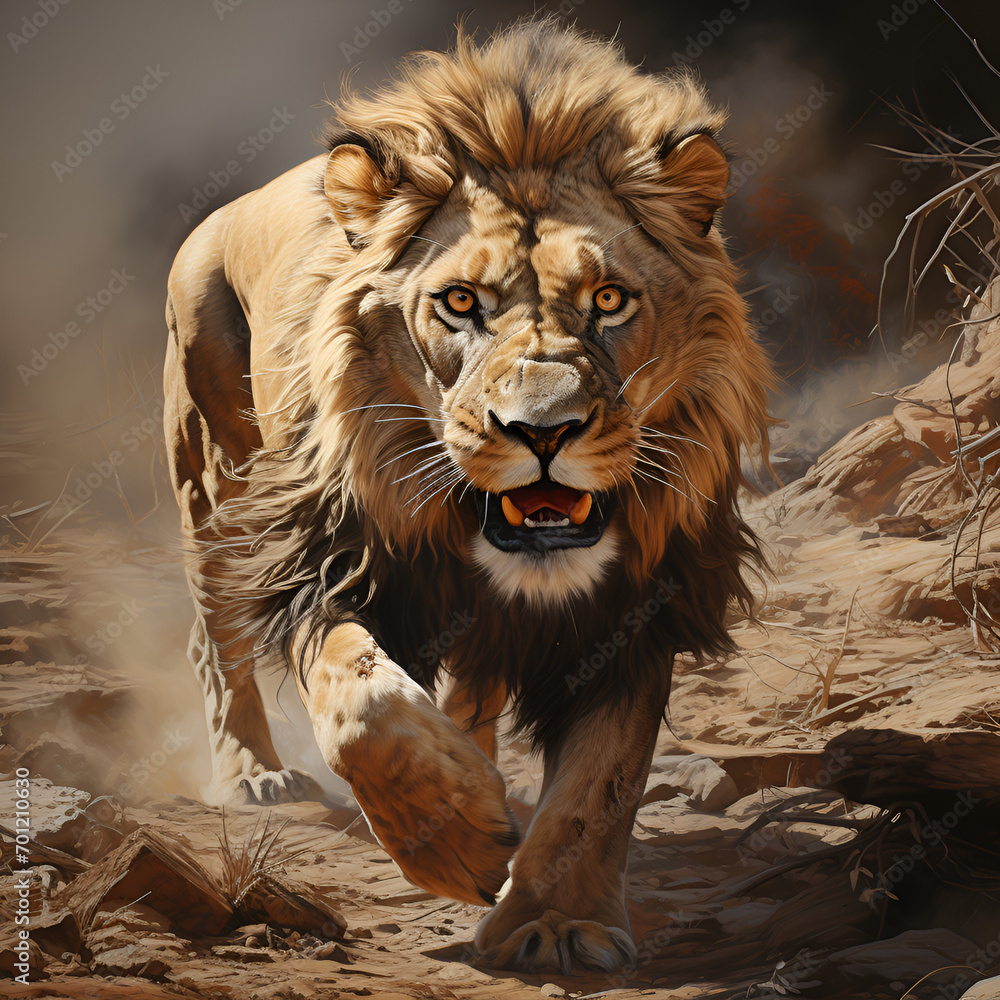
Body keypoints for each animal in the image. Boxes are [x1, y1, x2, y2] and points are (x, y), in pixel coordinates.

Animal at [163, 20, 771, 974]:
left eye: (608, 299)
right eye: (458, 302)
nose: (544, 432)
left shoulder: (639, 606)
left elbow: (602, 779)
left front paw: (555, 920)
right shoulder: (334, 563)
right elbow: (366, 705)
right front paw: (458, 842)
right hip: (214, 474)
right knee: (216, 637)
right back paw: (255, 775)